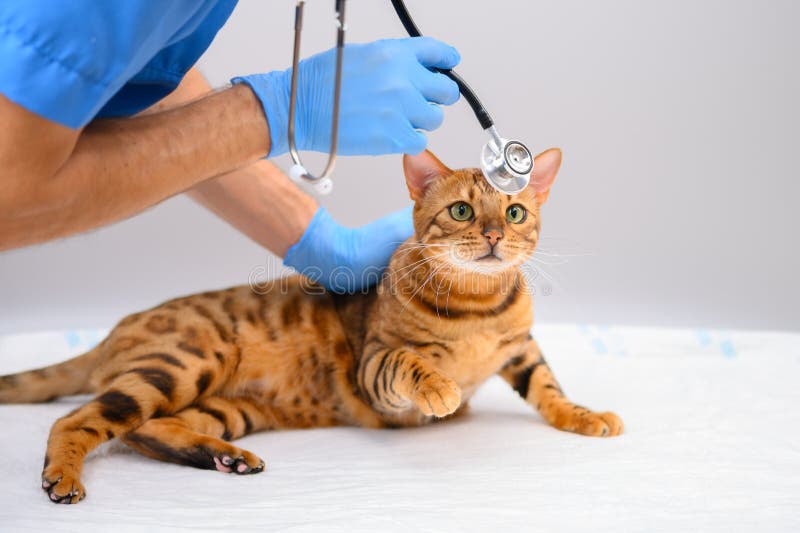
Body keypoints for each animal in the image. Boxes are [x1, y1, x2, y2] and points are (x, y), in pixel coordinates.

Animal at [0, 147, 620, 502]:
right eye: (463, 211)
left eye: (514, 212)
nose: (493, 235)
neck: (478, 306)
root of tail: (117, 327)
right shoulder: (377, 367)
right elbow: (411, 362)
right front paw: (441, 389)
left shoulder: (523, 349)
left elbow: (549, 389)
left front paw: (586, 416)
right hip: (183, 361)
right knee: (81, 420)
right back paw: (63, 478)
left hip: (230, 406)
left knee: (146, 430)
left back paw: (224, 457)